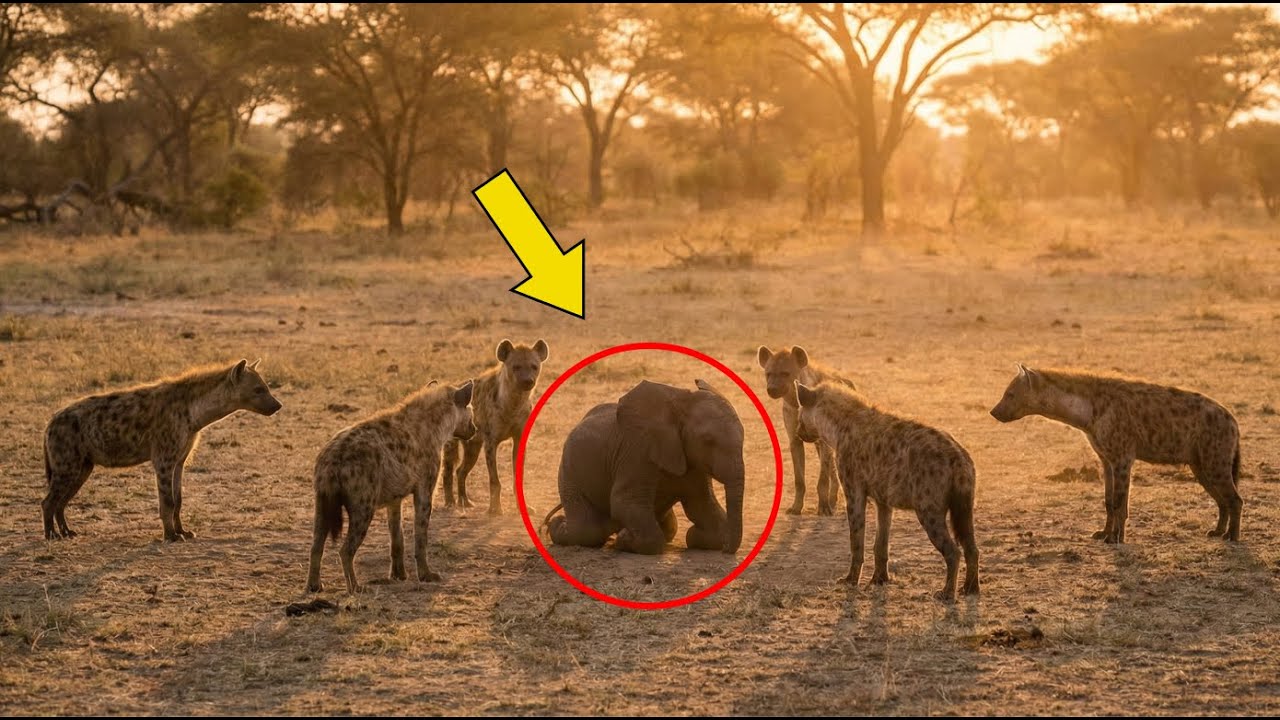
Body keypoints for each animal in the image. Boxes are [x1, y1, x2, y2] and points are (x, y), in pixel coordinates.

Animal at [543, 379, 746, 555]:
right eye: (708, 441)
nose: (726, 551)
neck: (680, 405)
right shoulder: (637, 452)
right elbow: (623, 502)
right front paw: (624, 539)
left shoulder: (692, 460)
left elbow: (701, 505)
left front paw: (696, 536)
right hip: (568, 470)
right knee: (587, 529)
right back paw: (556, 525)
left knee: (669, 525)